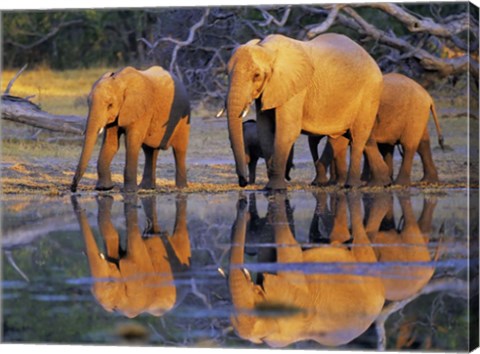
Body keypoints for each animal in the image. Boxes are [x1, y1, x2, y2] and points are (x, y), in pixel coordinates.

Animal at [70, 66, 190, 194]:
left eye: (110, 105)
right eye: (88, 103)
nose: (73, 188)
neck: (120, 80)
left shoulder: (141, 109)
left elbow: (132, 143)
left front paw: (129, 191)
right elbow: (111, 144)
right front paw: (104, 188)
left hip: (183, 116)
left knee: (179, 150)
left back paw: (181, 187)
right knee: (150, 151)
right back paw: (147, 187)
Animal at [226, 34, 390, 191]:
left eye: (256, 75)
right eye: (227, 74)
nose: (243, 182)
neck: (267, 49)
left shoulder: (296, 88)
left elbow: (287, 130)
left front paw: (275, 189)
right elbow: (265, 130)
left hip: (369, 92)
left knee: (358, 137)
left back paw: (352, 185)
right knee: (356, 137)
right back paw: (381, 183)